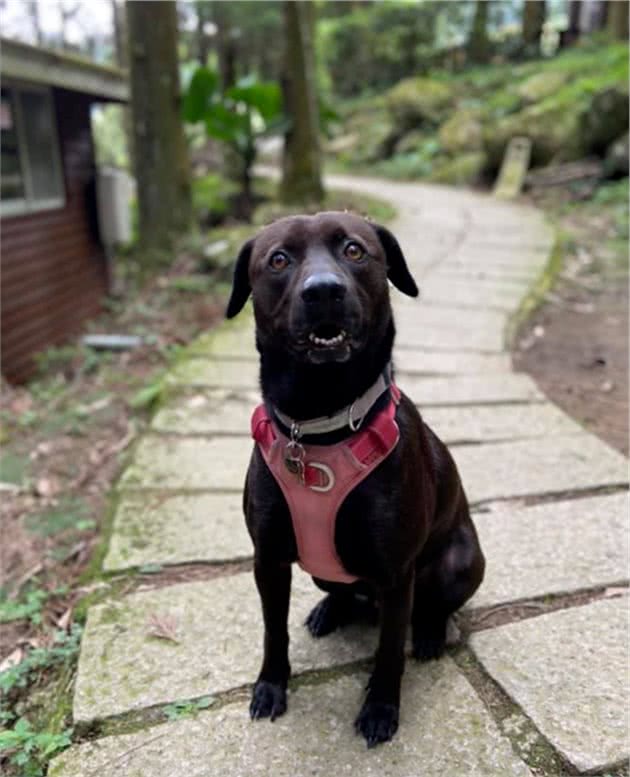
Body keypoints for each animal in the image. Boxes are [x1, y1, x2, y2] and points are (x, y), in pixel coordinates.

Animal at [228, 211, 488, 744]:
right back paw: (331, 611)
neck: (319, 425)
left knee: (431, 607)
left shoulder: (396, 573)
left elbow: (388, 651)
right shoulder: (268, 561)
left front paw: (381, 709)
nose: (324, 290)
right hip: (324, 571)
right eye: (278, 259)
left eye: (354, 250)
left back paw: (429, 633)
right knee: (344, 590)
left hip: (460, 562)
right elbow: (273, 631)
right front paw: (270, 687)